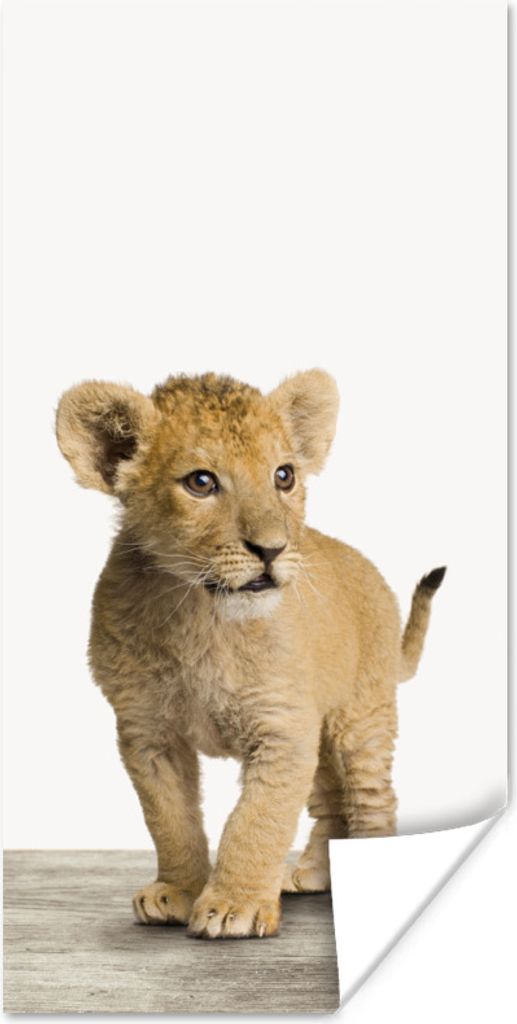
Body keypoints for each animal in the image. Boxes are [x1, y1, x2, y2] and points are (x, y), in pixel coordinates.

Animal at [56, 369, 445, 939]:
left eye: (283, 476)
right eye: (201, 482)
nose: (272, 549)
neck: (201, 615)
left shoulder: (281, 728)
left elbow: (256, 820)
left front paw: (232, 905)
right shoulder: (147, 731)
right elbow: (169, 819)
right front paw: (177, 891)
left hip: (360, 717)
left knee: (370, 797)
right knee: (330, 803)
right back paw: (312, 874)